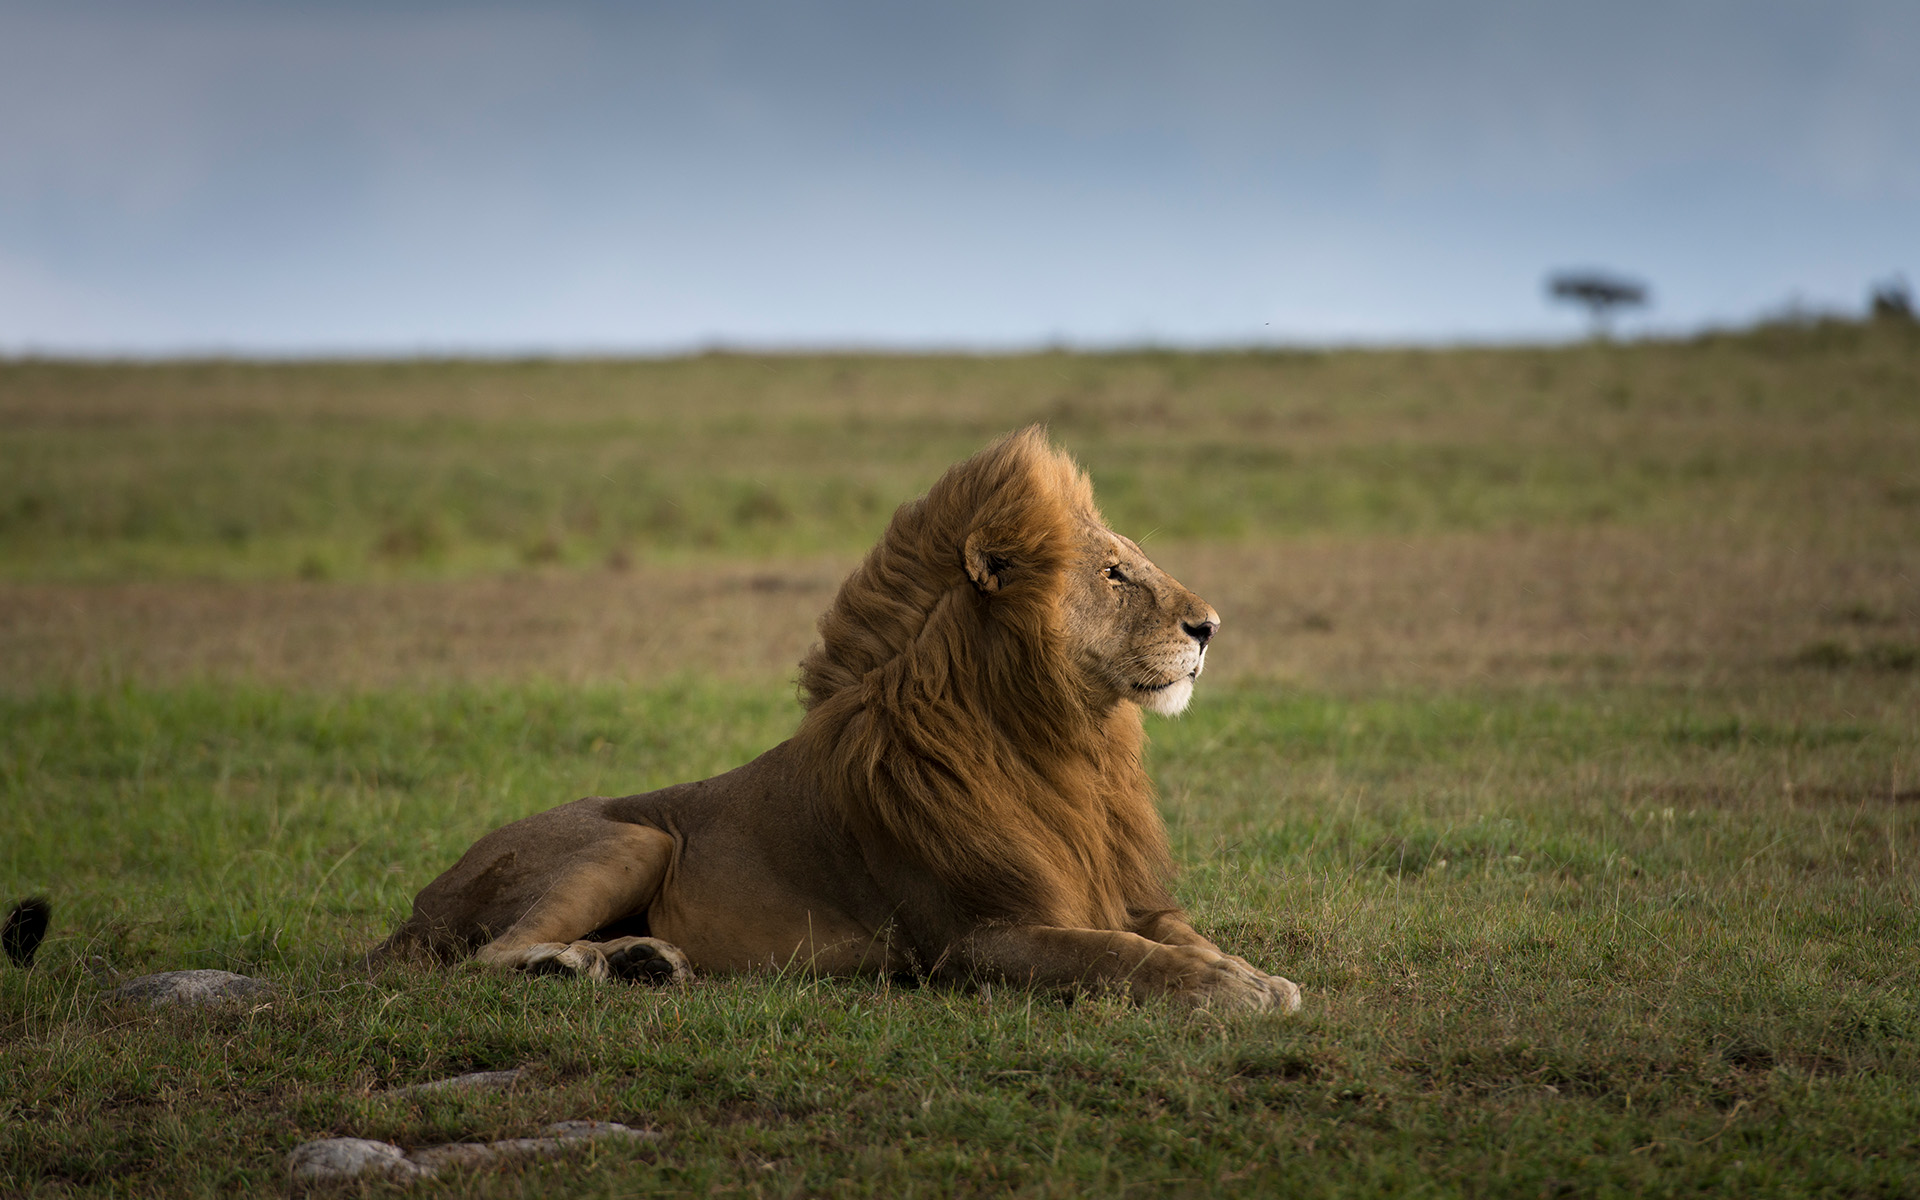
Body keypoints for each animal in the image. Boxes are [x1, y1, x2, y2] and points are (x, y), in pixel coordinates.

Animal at [373, 428, 1301, 1012]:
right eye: (1114, 574)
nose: (1211, 626)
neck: (1064, 744)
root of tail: (422, 901)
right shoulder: (969, 940)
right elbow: (1117, 955)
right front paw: (1227, 990)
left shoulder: (1118, 890)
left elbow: (1178, 933)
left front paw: (1252, 974)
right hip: (636, 838)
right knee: (487, 959)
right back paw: (582, 965)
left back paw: (642, 959)